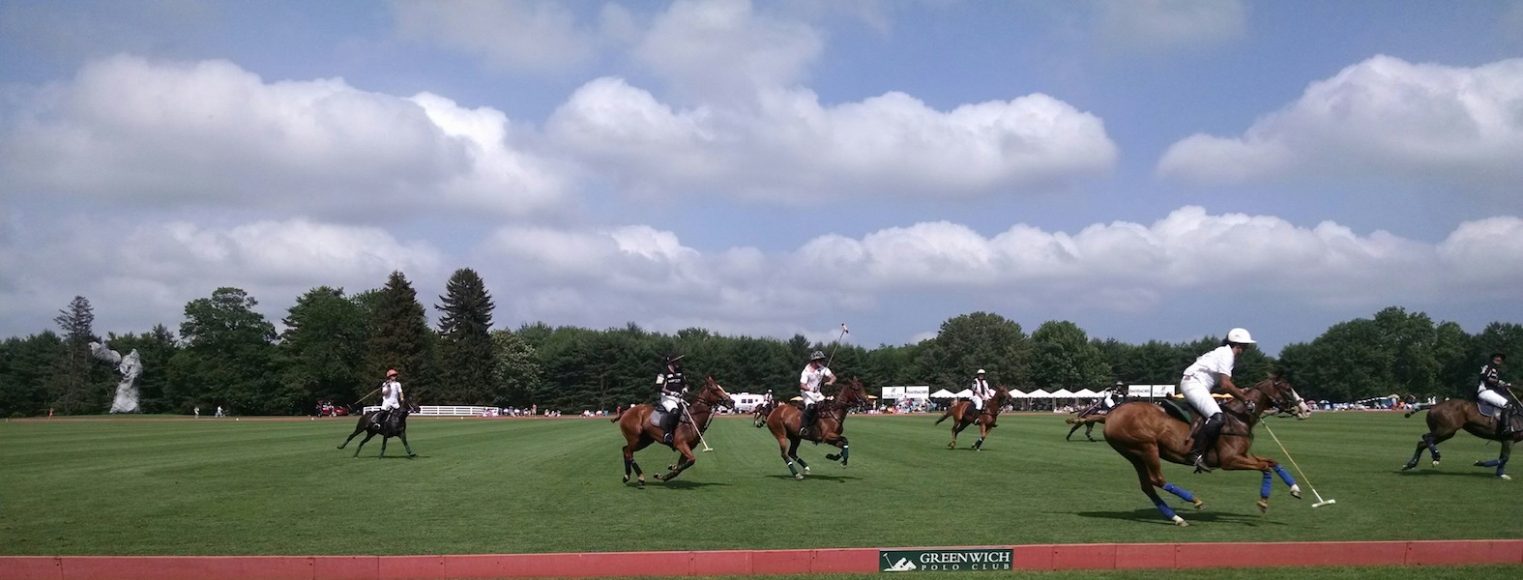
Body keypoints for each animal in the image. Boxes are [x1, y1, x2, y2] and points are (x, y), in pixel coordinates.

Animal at [1102, 374, 1315, 523]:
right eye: (1287, 388)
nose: (1306, 409)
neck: (1238, 418)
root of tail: (1110, 415)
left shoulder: (1243, 455)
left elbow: (1272, 462)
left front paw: (1295, 489)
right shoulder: (1230, 461)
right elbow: (1265, 467)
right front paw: (1263, 502)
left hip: (1134, 455)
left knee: (1147, 485)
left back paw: (1175, 517)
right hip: (1147, 447)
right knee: (1157, 479)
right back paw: (1193, 500)